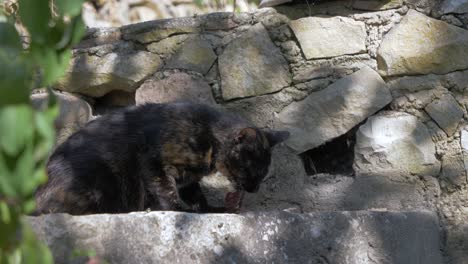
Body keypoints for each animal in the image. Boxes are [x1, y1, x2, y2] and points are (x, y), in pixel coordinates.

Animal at [33, 101, 288, 214]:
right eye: (250, 170)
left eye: (263, 174)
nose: (254, 189)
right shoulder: (153, 161)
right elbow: (166, 190)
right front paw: (180, 210)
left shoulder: (189, 178)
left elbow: (197, 195)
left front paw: (210, 209)